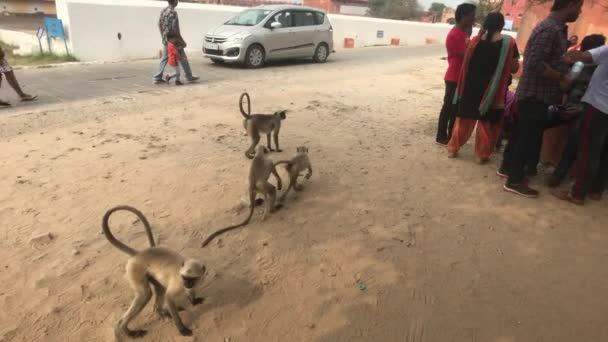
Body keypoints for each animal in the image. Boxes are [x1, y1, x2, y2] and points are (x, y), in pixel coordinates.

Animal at [103, 206, 208, 340]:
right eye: (184, 278)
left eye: (191, 279)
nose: (187, 284)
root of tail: (138, 254)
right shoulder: (178, 282)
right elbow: (169, 297)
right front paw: (181, 328)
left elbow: (190, 292)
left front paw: (194, 301)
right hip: (135, 270)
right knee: (145, 294)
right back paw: (126, 329)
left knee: (159, 289)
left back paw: (160, 312)